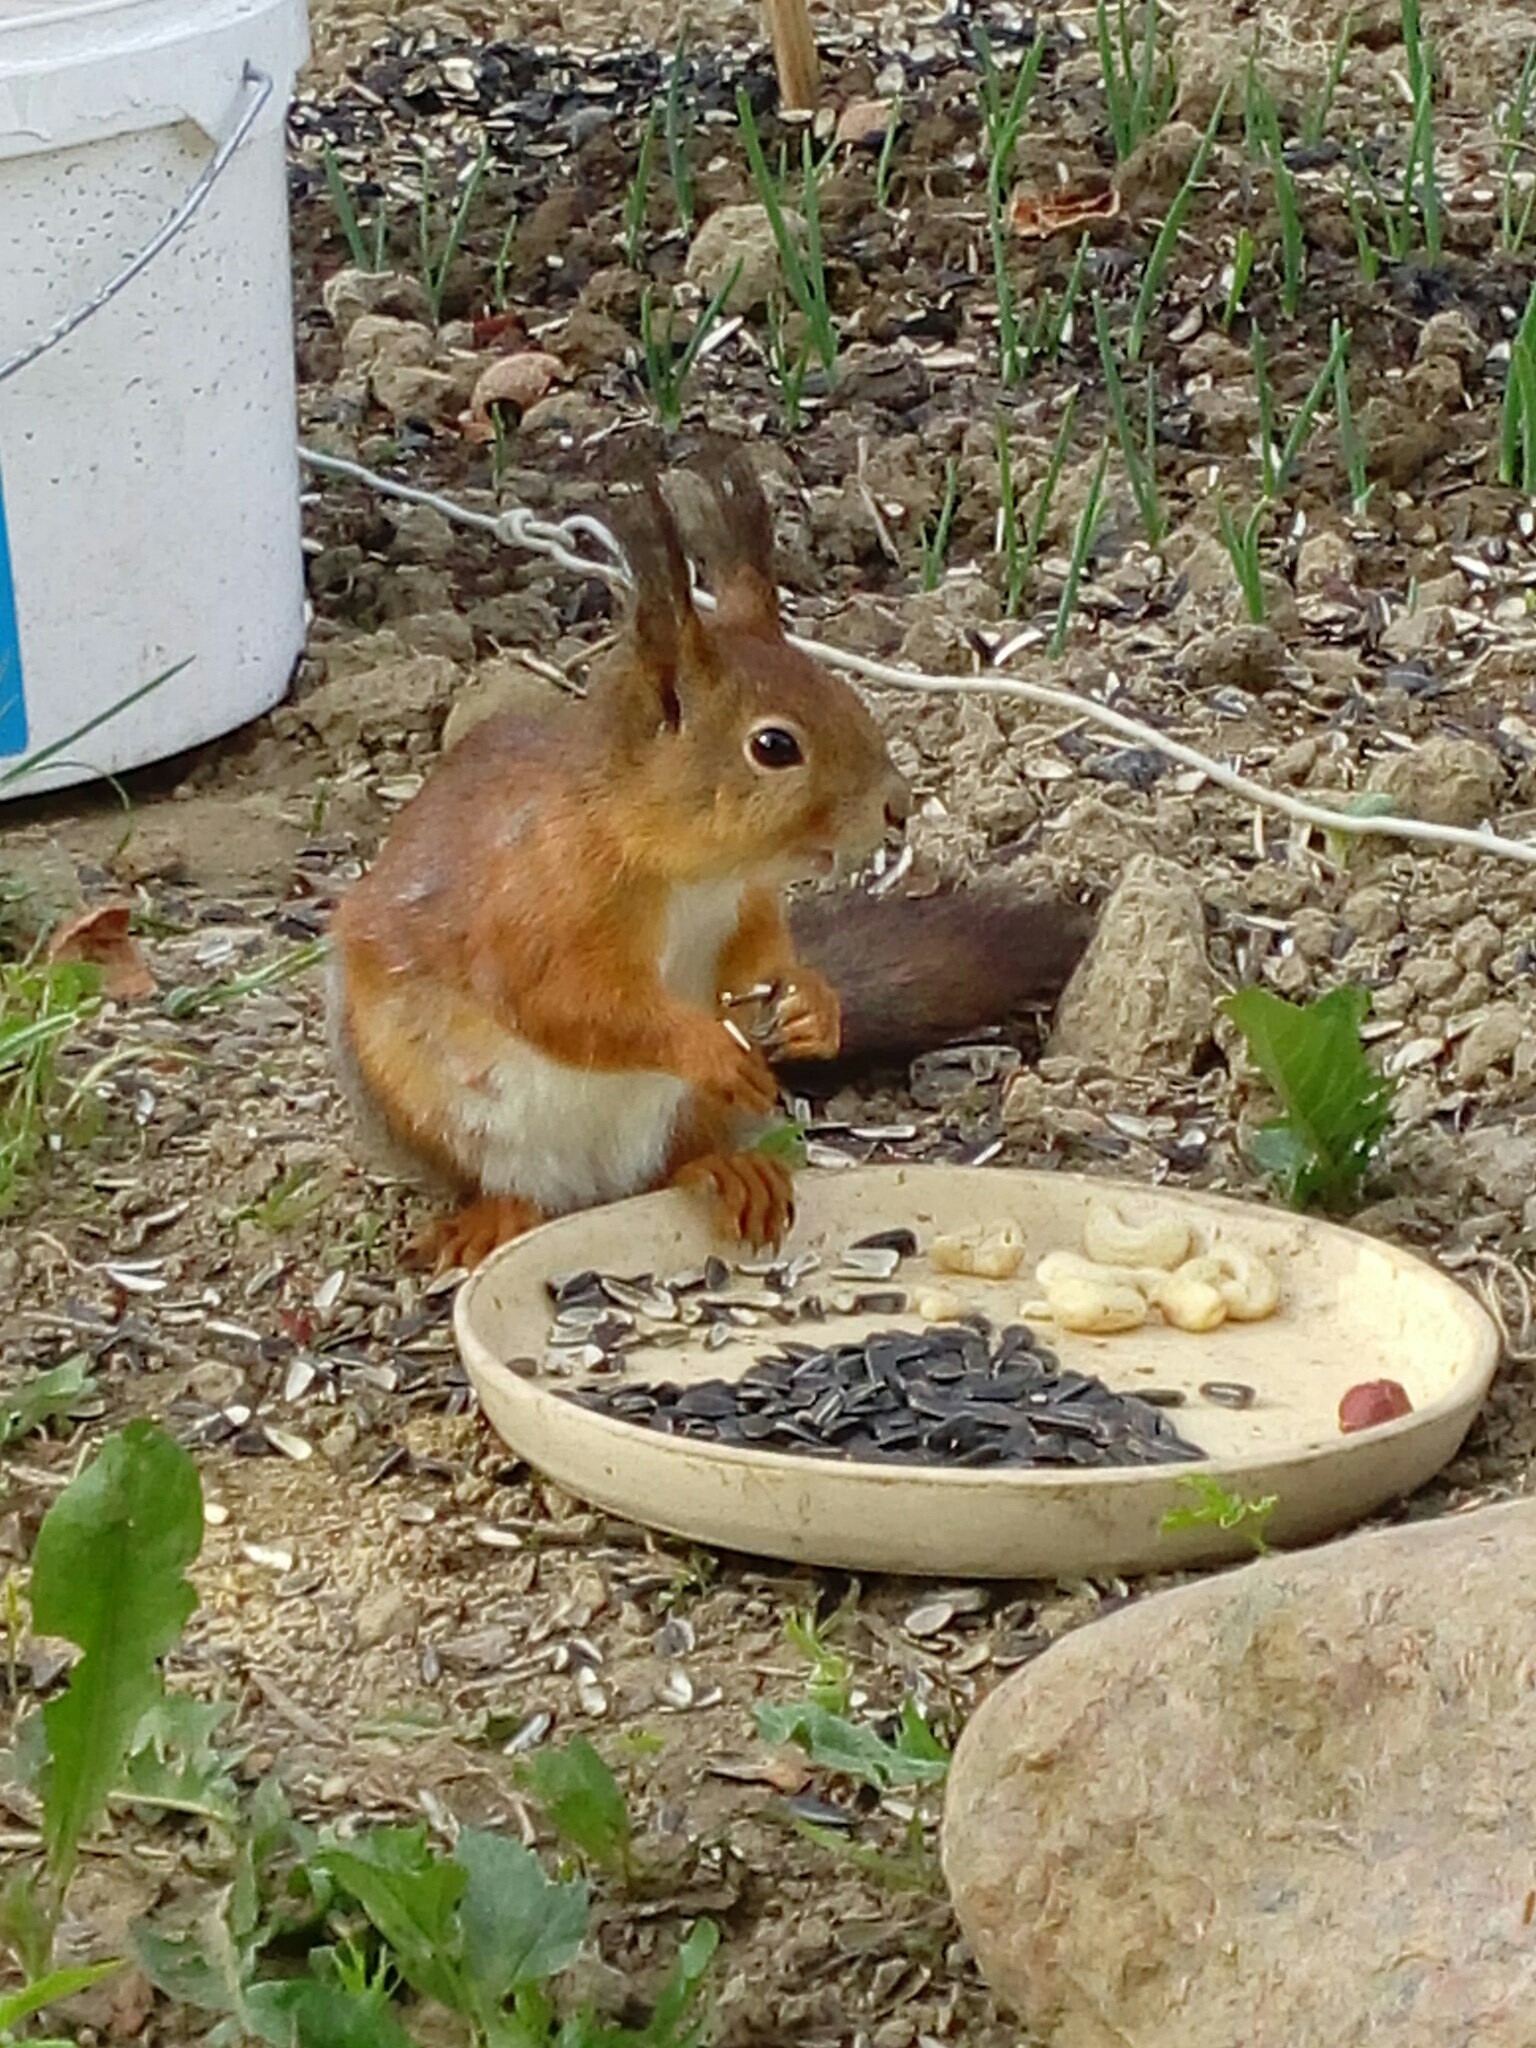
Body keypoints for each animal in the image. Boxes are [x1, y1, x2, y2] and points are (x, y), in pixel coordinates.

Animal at [329, 456, 1089, 1269]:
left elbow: (759, 962)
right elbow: (570, 1005)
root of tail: (594, 1184)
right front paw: (707, 1046)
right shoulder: (535, 907)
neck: (689, 871)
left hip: (683, 1116)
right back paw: (493, 1216)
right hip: (424, 1105)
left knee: (678, 1162)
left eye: (844, 692)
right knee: (503, 1181)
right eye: (775, 746)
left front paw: (812, 1004)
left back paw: (731, 1169)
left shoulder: (746, 901)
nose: (897, 805)